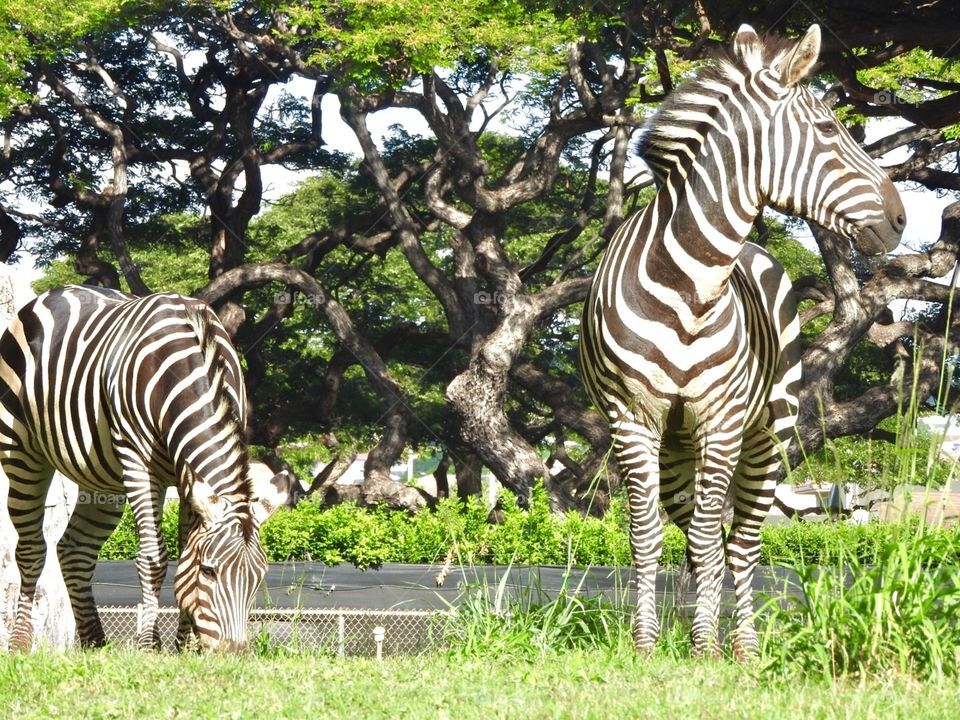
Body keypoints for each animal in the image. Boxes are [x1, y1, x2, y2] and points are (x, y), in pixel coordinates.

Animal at [0, 286, 294, 652]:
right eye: (209, 571)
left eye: (259, 577)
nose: (233, 653)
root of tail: (56, 292)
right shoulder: (138, 462)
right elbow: (154, 558)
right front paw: (150, 647)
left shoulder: (187, 475)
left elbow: (184, 551)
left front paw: (184, 647)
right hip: (21, 452)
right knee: (31, 549)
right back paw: (20, 643)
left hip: (101, 480)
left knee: (74, 549)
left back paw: (95, 642)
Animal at [576, 25, 908, 660]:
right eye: (828, 130)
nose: (903, 219)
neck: (690, 285)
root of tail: (754, 249)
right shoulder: (632, 417)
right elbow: (648, 535)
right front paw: (648, 646)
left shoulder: (722, 419)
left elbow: (713, 538)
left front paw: (706, 648)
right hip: (677, 445)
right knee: (700, 532)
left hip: (769, 431)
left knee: (743, 539)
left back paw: (743, 645)